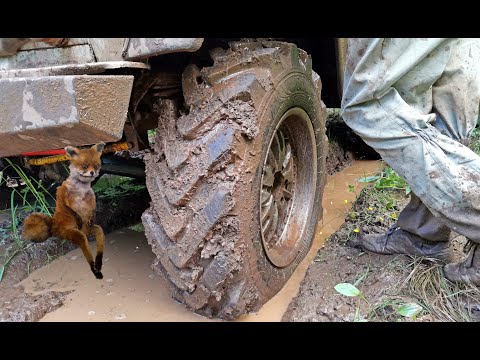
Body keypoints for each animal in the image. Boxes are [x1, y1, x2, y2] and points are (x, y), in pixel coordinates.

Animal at [22, 143, 105, 278]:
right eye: (84, 166)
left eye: (97, 166)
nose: (93, 173)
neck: (81, 189)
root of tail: (53, 225)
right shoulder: (62, 196)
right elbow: (71, 211)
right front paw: (78, 218)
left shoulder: (91, 200)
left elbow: (92, 210)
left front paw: (90, 216)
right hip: (77, 235)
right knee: (85, 248)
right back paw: (94, 270)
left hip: (96, 231)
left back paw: (98, 265)